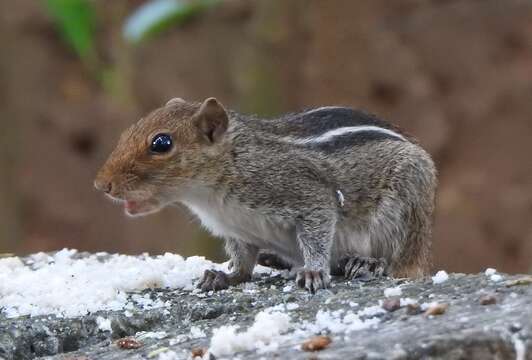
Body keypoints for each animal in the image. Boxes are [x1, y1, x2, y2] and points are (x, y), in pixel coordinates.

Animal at [94, 97, 436, 292]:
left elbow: (318, 230)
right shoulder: (235, 231)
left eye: (161, 143)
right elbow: (243, 261)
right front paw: (226, 277)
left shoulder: (307, 195)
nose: (101, 185)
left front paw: (314, 271)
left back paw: (367, 263)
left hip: (406, 200)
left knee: (398, 261)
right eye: (127, 133)